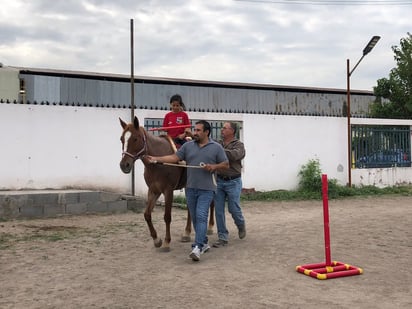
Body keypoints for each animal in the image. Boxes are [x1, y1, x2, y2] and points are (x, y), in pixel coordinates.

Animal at [119, 115, 214, 250]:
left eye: (135, 138)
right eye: (122, 139)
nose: (124, 165)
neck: (158, 162)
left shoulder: (168, 191)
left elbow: (167, 217)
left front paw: (166, 242)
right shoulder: (153, 190)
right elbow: (147, 214)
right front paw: (156, 239)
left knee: (212, 203)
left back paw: (210, 227)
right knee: (190, 207)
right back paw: (186, 233)